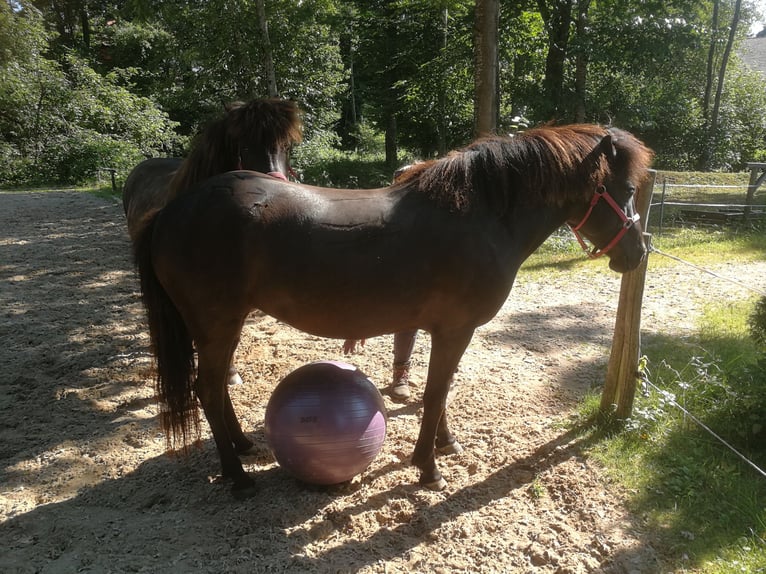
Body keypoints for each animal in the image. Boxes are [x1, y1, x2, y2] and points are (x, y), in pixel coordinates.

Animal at [135, 124, 653, 497]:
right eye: (625, 189)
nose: (638, 251)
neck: (481, 218)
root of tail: (171, 211)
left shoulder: (443, 329)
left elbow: (438, 389)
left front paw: (446, 443)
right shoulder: (455, 329)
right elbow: (436, 392)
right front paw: (429, 468)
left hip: (226, 325)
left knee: (216, 387)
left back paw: (244, 448)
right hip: (217, 324)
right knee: (206, 388)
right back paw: (238, 477)